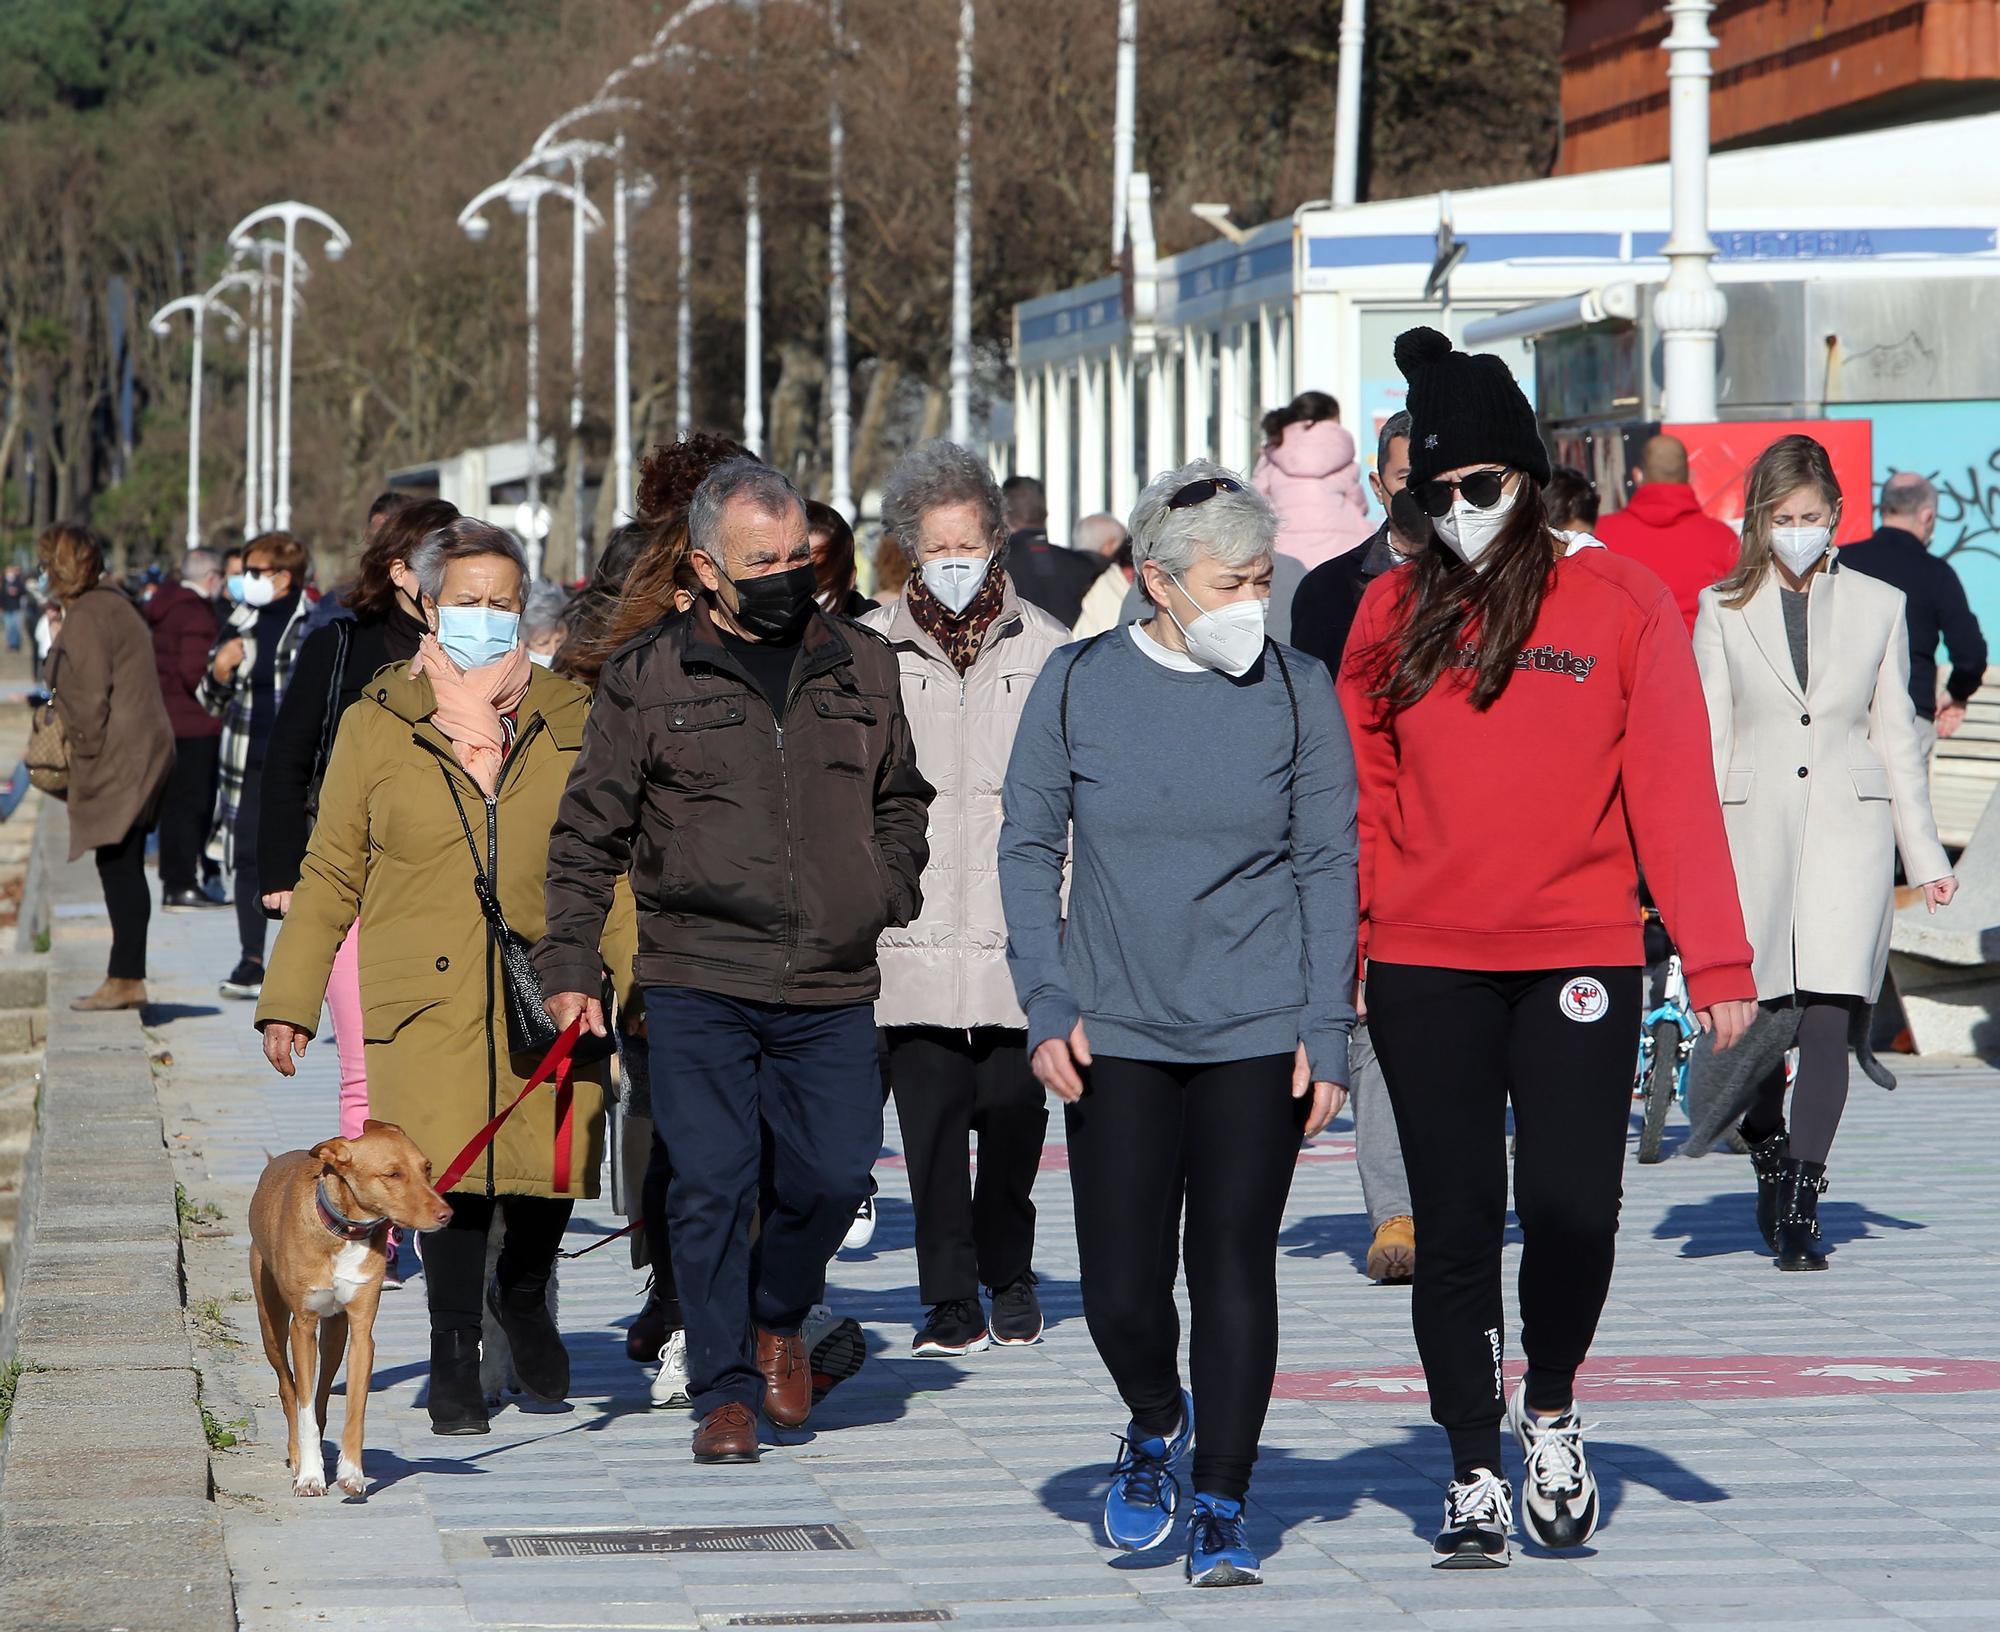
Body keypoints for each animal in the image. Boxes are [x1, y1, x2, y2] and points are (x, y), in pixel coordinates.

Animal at [248, 1120, 452, 1488]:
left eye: (426, 1168)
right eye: (393, 1174)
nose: (447, 1214)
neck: (343, 1233)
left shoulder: (360, 1332)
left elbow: (354, 1406)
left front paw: (352, 1472)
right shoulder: (302, 1327)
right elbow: (302, 1405)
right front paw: (310, 1476)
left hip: (335, 1334)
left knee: (323, 1393)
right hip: (271, 1324)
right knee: (289, 1389)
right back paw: (299, 1458)